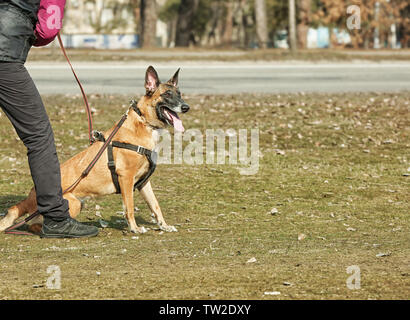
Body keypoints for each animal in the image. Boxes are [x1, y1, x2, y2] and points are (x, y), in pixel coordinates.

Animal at [0, 65, 189, 235]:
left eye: (179, 94)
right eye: (166, 94)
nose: (186, 107)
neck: (144, 122)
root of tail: (30, 196)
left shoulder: (143, 182)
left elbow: (155, 205)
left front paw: (164, 225)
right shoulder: (126, 178)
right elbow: (129, 206)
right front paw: (134, 228)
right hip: (73, 203)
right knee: (35, 225)